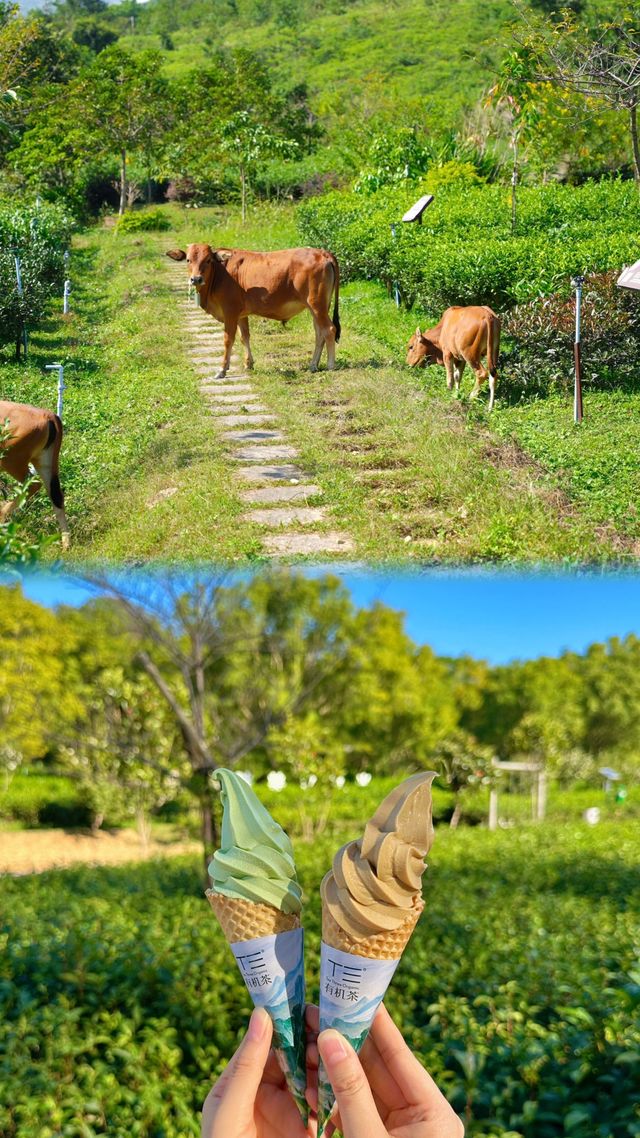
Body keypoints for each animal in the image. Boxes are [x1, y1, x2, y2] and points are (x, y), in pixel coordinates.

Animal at [0, 398, 70, 548]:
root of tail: (48, 415)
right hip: (45, 461)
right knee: (56, 495)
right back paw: (66, 544)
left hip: (11, 461)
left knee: (34, 485)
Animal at [167, 243, 341, 377]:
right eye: (188, 260)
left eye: (208, 260)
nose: (196, 279)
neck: (221, 273)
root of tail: (323, 252)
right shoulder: (241, 314)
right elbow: (244, 337)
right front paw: (248, 363)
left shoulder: (230, 311)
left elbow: (228, 340)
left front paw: (222, 369)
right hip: (317, 307)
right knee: (319, 333)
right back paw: (313, 365)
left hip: (316, 305)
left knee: (329, 329)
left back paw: (330, 365)